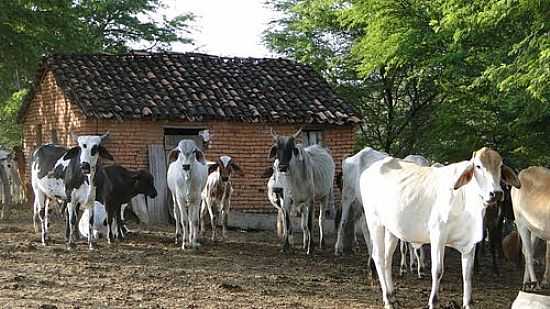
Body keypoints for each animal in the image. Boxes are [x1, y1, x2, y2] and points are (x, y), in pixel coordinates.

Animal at [362, 147, 520, 308]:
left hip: (391, 229)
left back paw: (393, 296)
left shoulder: (470, 243)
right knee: (378, 257)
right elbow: (437, 271)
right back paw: (388, 299)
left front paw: (468, 303)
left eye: (500, 166)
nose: (496, 193)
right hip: (374, 222)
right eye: (478, 166)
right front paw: (433, 302)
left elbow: (467, 274)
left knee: (387, 259)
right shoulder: (438, 236)